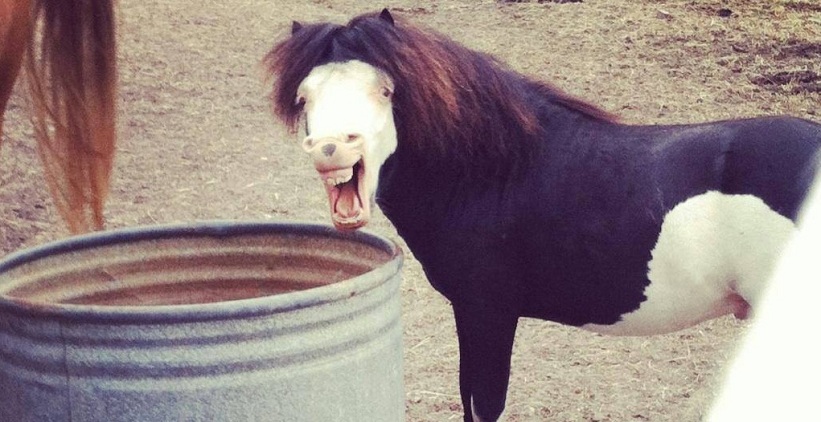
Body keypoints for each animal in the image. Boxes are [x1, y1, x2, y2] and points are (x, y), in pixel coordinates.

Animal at [265, 9, 821, 422]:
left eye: (385, 90)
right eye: (304, 97)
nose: (333, 149)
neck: (492, 173)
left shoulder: (486, 312)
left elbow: (483, 405)